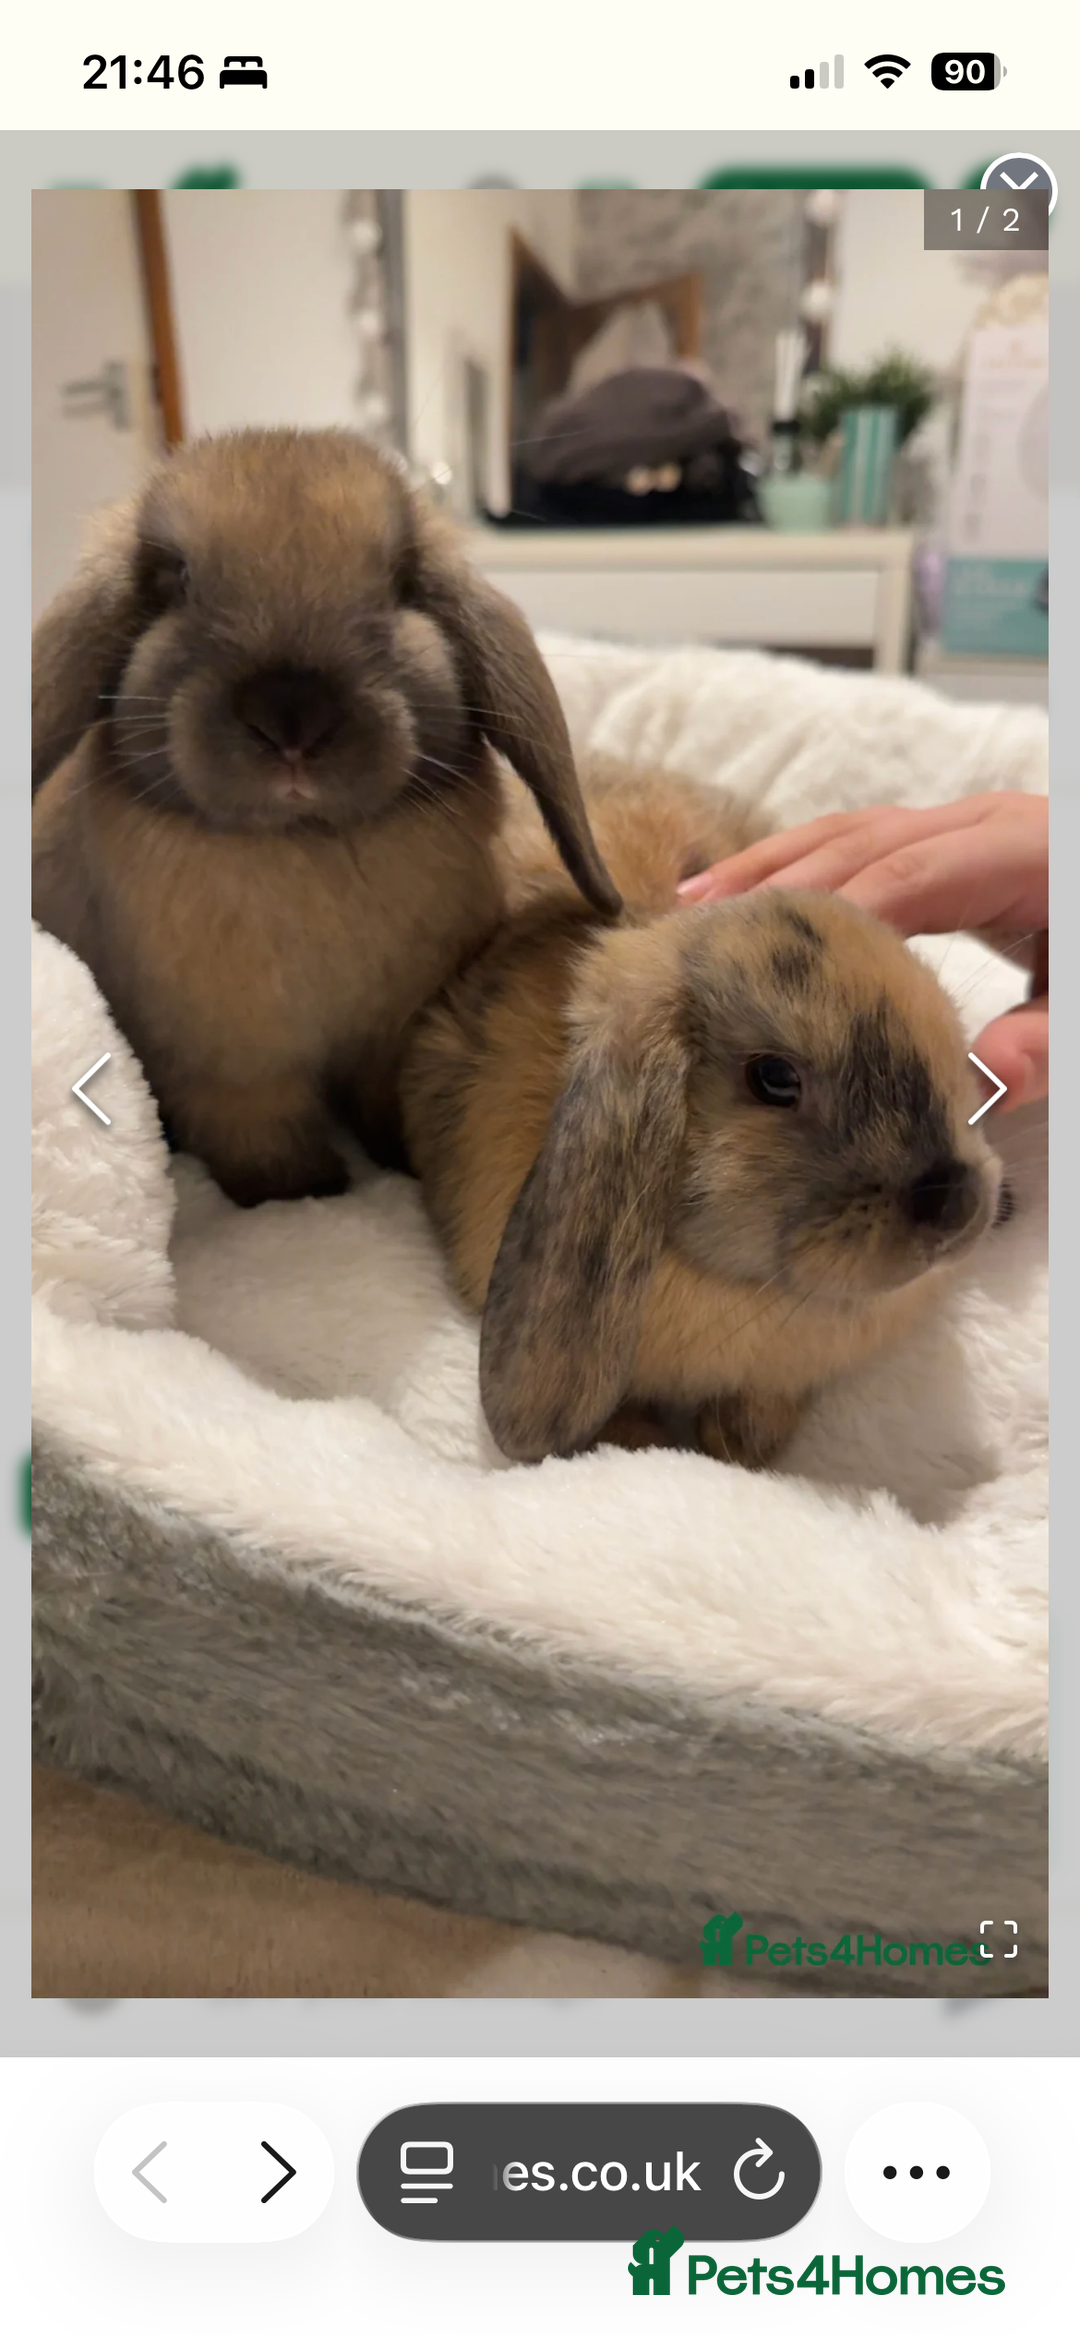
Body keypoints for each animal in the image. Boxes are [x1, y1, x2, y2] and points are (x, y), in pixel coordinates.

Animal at [32, 428, 619, 1207]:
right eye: (173, 580)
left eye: (402, 582)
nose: (292, 719)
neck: (302, 846)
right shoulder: (233, 1068)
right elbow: (261, 1132)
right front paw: (299, 1193)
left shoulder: (389, 1040)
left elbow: (387, 1103)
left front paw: (401, 1164)